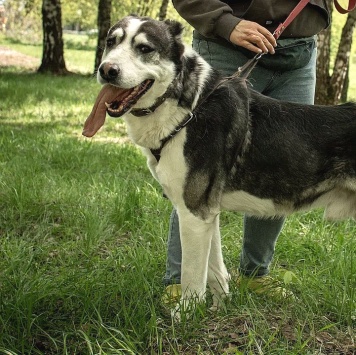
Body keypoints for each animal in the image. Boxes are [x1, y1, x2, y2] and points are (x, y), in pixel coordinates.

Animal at [83, 13, 356, 314]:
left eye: (144, 48)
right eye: (111, 42)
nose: (107, 70)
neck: (188, 108)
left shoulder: (193, 213)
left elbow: (193, 277)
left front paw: (185, 316)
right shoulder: (206, 214)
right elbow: (214, 271)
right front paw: (218, 308)